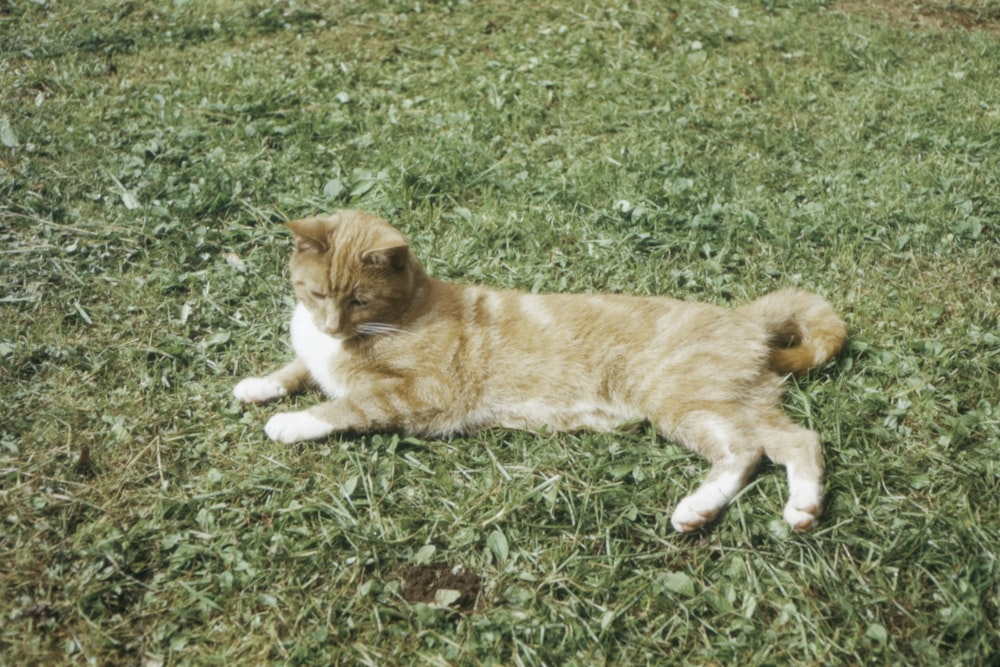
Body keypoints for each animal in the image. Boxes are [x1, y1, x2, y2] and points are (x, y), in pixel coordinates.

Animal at [234, 211, 844, 536]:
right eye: (316, 293)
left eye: (358, 300)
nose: (332, 325)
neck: (402, 310)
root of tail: (746, 316)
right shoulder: (318, 357)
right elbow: (297, 368)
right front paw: (259, 385)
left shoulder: (422, 394)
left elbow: (342, 405)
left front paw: (291, 422)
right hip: (727, 403)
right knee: (783, 442)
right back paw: (782, 509)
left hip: (682, 399)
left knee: (759, 447)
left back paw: (720, 507)